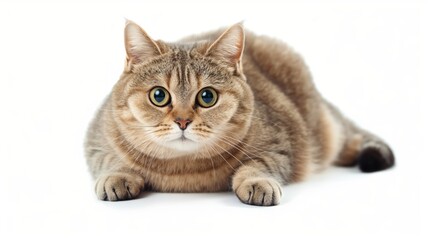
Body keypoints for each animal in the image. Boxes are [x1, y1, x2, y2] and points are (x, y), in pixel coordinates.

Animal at [84, 20, 394, 206]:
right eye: (159, 96)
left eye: (207, 97)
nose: (183, 120)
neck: (182, 171)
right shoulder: (96, 141)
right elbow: (110, 160)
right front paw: (117, 177)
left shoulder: (281, 146)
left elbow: (256, 165)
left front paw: (256, 182)